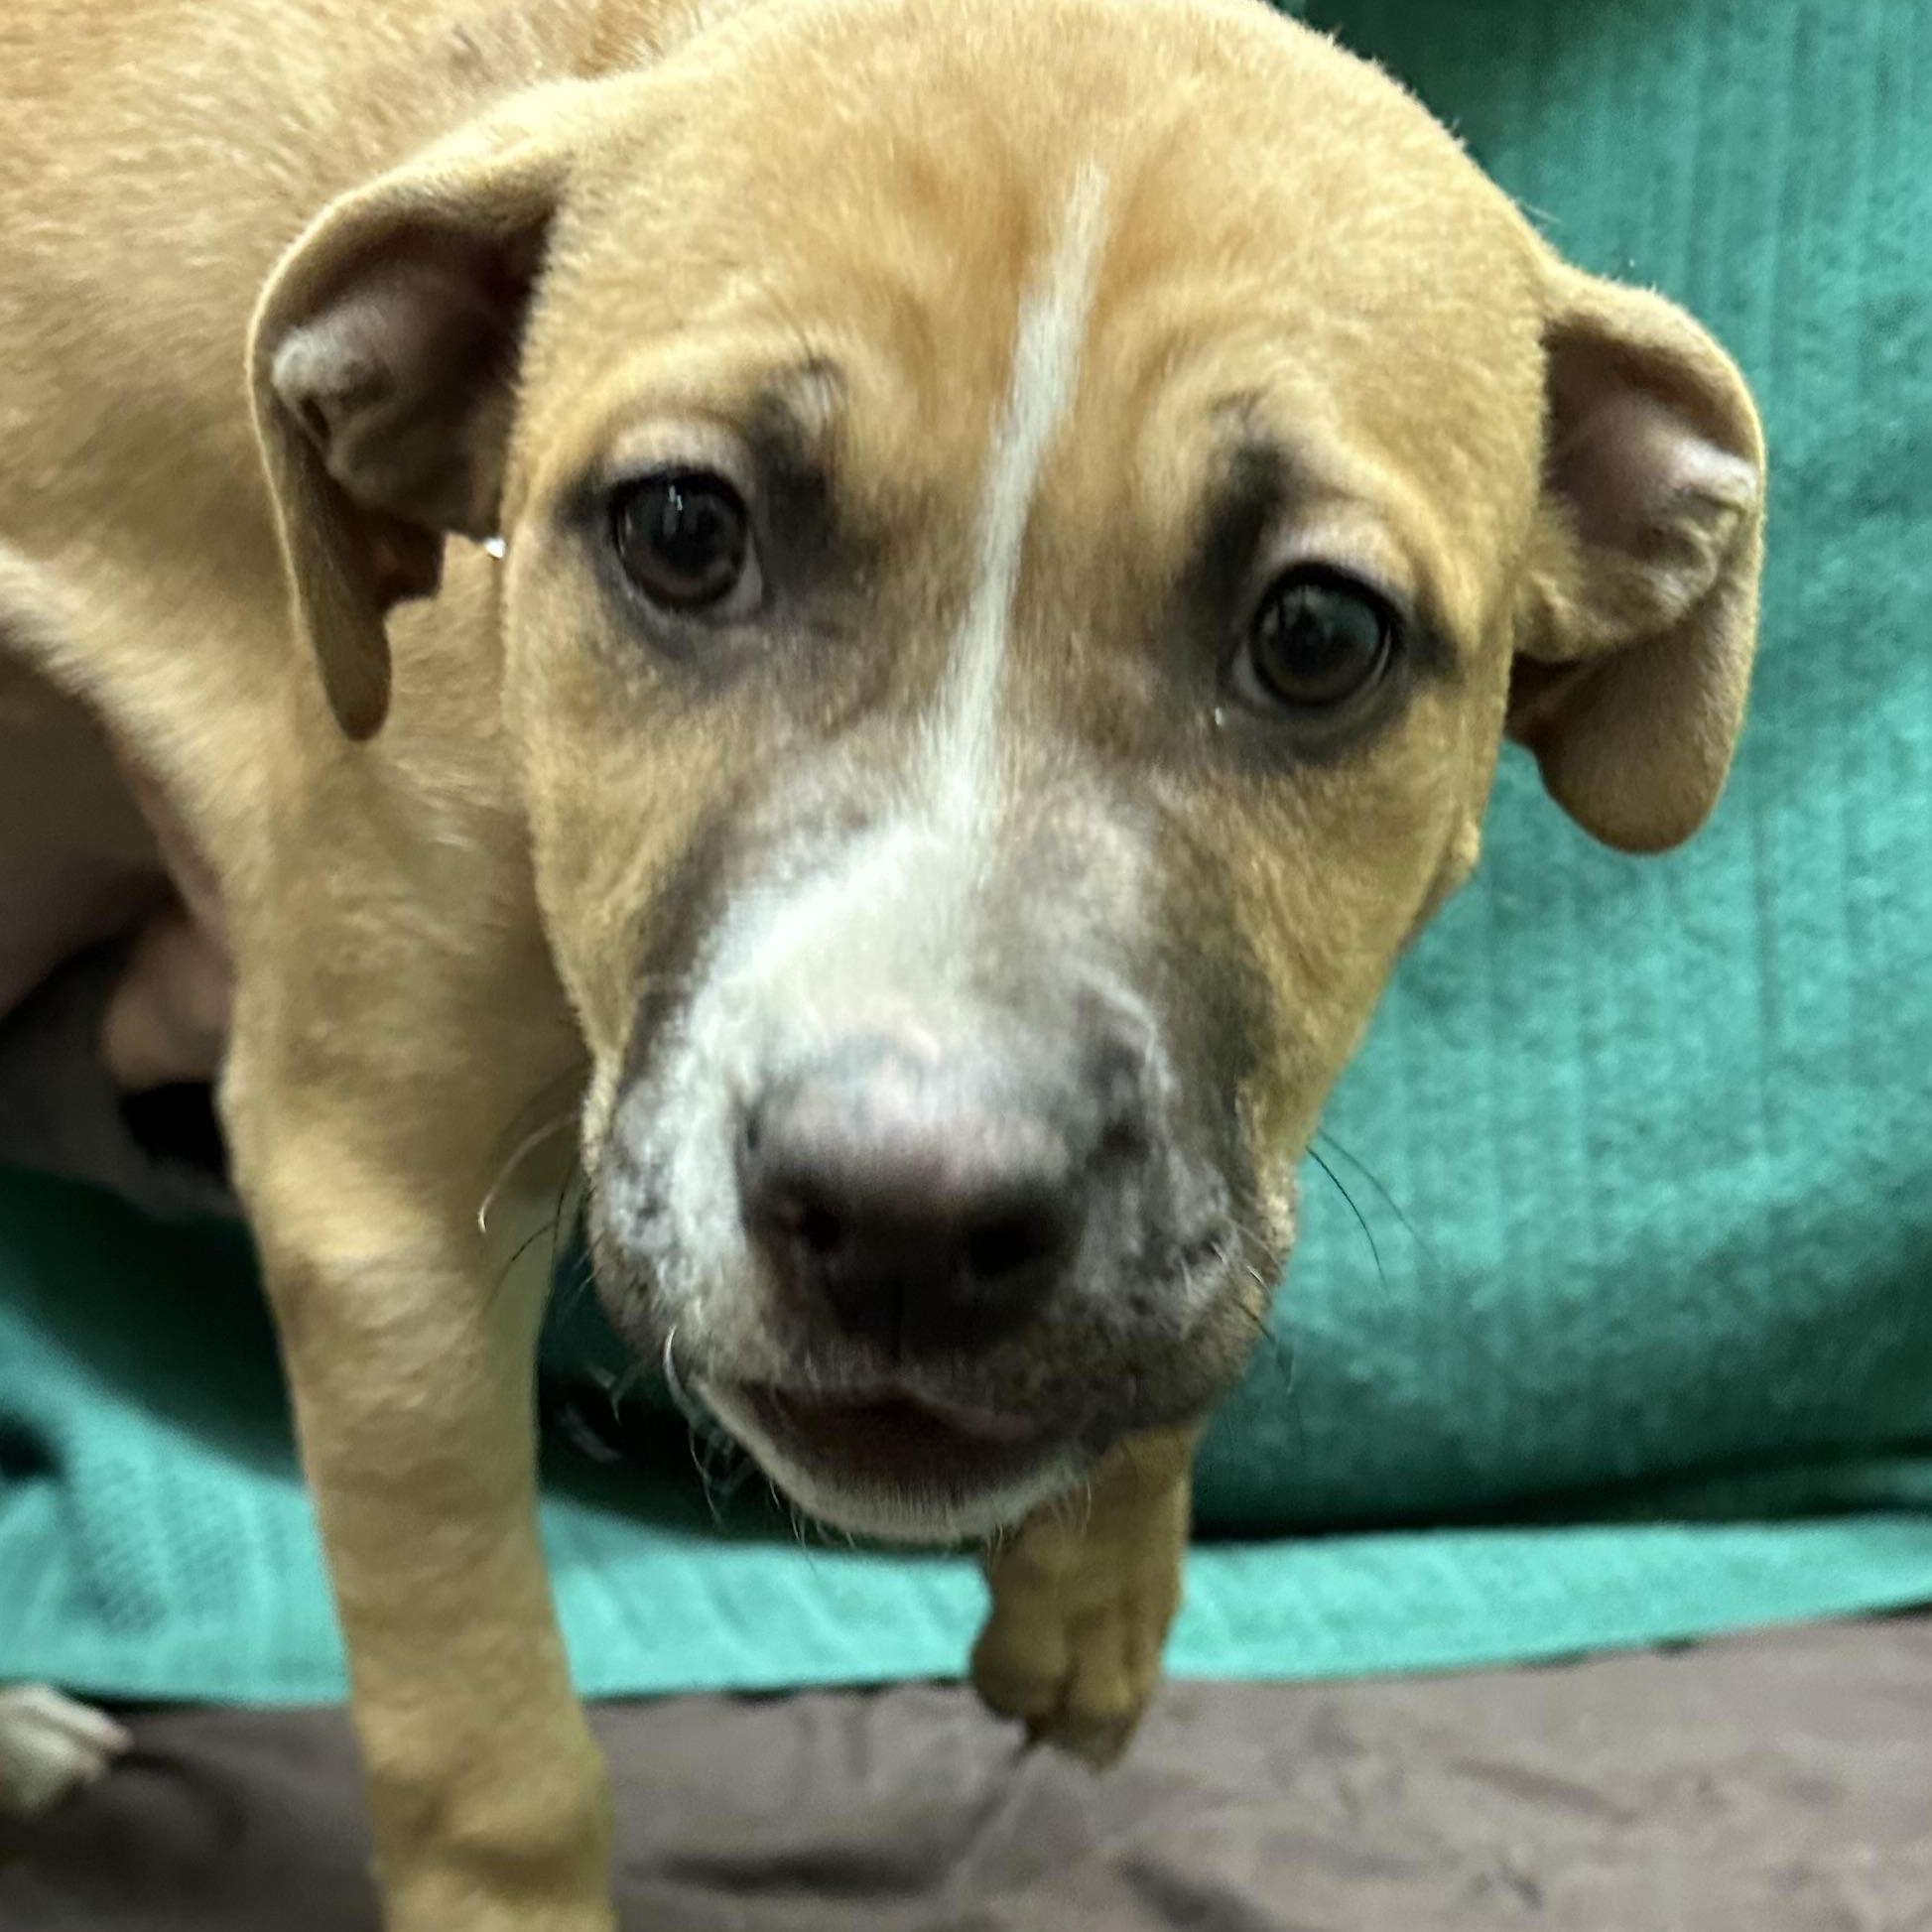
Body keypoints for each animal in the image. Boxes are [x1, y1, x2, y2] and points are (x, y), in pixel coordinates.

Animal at [0, 0, 1765, 1922]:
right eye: (680, 531)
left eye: (1316, 633)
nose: (907, 1215)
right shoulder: (371, 1200)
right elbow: (495, 1755)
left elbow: (1206, 1253)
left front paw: (1093, 1587)